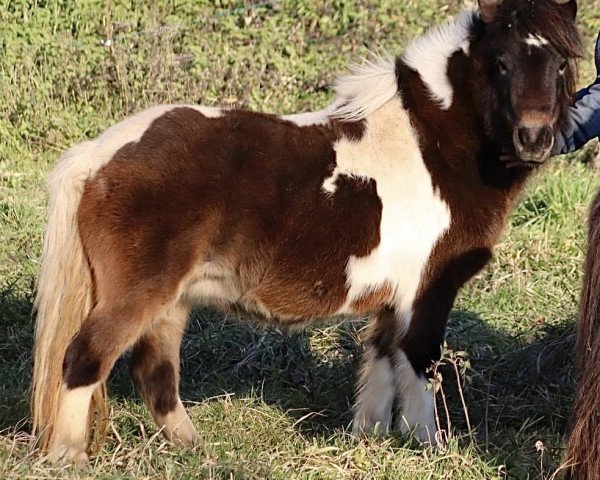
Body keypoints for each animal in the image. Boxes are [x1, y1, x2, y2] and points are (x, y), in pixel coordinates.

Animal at [30, 0, 580, 464]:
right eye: (500, 63)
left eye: (560, 64)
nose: (533, 139)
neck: (434, 147)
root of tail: (99, 155)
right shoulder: (427, 292)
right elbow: (420, 366)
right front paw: (430, 448)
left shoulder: (392, 301)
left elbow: (380, 366)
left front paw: (369, 443)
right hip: (141, 293)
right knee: (84, 358)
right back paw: (69, 458)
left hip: (173, 301)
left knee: (154, 373)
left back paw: (196, 450)